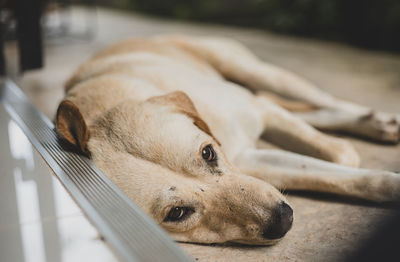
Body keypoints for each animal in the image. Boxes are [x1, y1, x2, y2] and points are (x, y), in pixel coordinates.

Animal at [55, 34, 400, 246]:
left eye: (208, 153)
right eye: (177, 213)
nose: (283, 219)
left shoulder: (258, 114)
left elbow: (342, 155)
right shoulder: (254, 161)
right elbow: (337, 172)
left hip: (256, 72)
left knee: (320, 100)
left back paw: (376, 121)